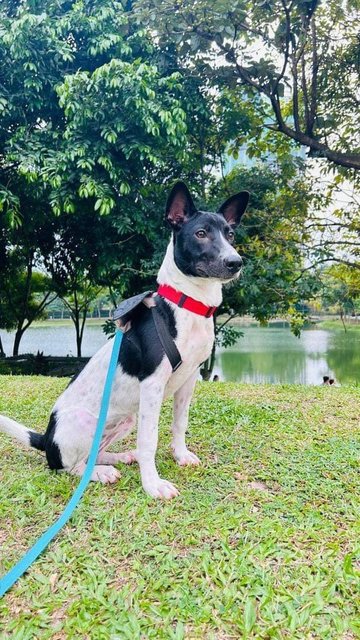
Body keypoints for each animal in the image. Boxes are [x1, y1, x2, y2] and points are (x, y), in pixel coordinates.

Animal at [0, 181, 249, 500]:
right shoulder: (152, 386)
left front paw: (180, 456)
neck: (187, 304)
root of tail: (46, 439)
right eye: (201, 233)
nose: (235, 262)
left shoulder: (190, 379)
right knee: (70, 467)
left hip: (125, 420)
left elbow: (179, 423)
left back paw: (116, 458)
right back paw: (100, 472)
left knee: (94, 453)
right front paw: (153, 484)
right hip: (85, 422)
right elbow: (149, 441)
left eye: (230, 235)